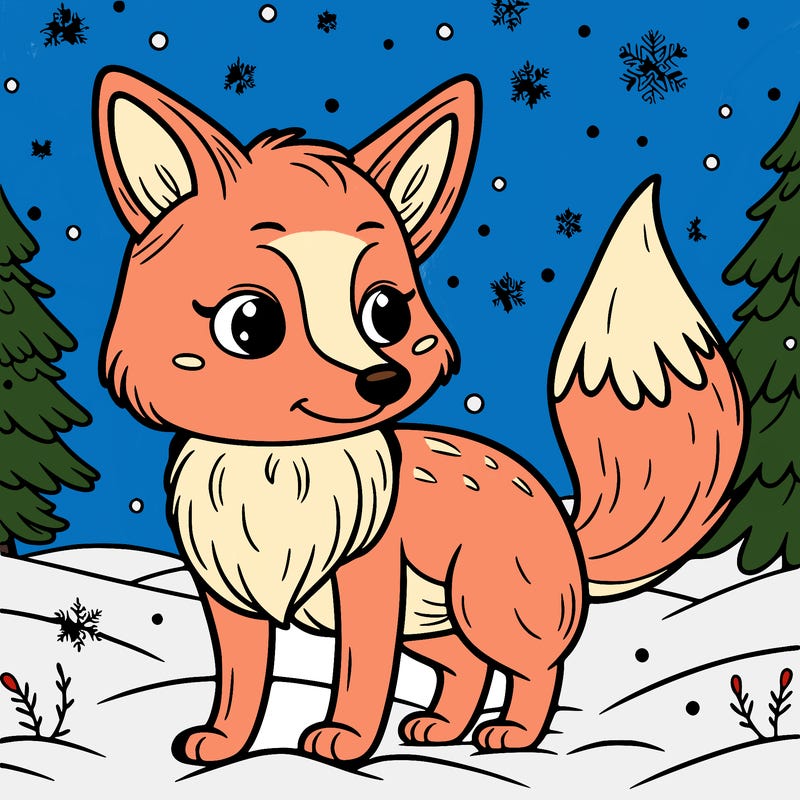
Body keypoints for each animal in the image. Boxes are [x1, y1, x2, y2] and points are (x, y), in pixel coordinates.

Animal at [92, 66, 744, 765]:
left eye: (387, 312)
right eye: (251, 323)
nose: (383, 378)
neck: (278, 470)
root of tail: (560, 512)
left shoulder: (368, 584)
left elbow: (361, 671)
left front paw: (344, 741)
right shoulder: (228, 594)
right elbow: (241, 679)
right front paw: (223, 742)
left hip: (488, 604)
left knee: (536, 669)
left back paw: (511, 735)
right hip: (435, 622)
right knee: (466, 668)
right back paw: (441, 728)